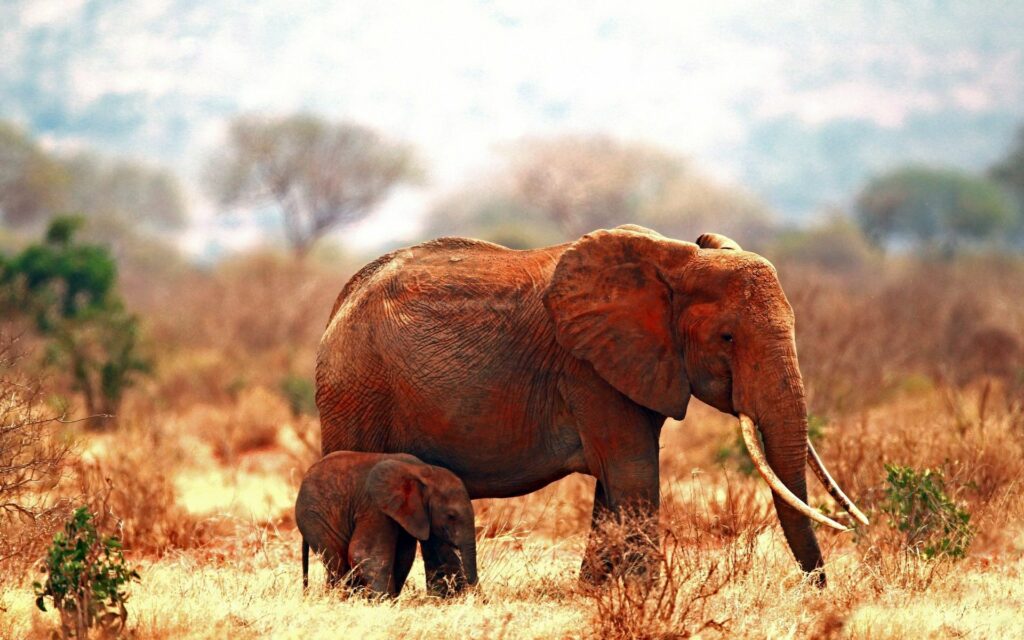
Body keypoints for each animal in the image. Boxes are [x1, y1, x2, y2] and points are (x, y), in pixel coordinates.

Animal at [295, 451, 478, 597]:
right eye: (451, 516)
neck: (423, 471)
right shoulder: (375, 506)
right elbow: (365, 554)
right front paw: (383, 602)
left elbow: (404, 557)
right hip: (314, 517)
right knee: (338, 562)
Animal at [315, 225, 867, 586]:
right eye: (727, 337)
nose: (816, 589)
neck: (675, 260)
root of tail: (340, 302)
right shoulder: (588, 370)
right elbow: (632, 470)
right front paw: (643, 596)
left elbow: (616, 479)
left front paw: (596, 592)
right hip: (356, 389)